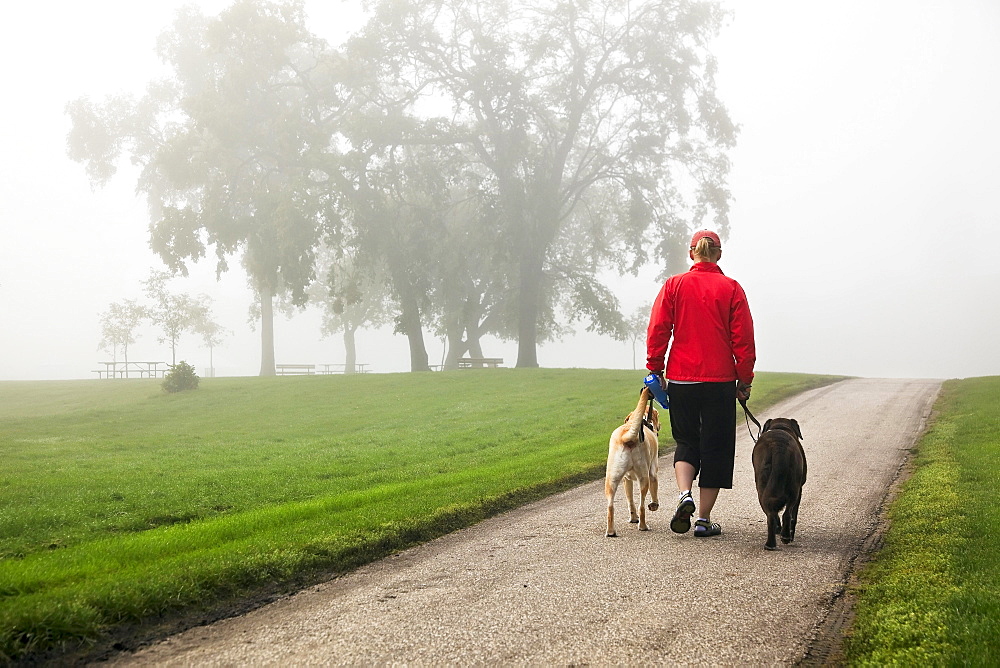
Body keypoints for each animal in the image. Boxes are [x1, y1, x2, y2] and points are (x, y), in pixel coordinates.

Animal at [604, 386, 660, 536]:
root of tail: (627, 437)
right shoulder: (653, 472)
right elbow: (654, 492)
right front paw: (654, 505)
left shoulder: (626, 480)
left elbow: (630, 501)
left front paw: (633, 518)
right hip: (644, 478)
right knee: (642, 505)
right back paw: (643, 526)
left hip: (611, 479)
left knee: (610, 506)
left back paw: (611, 531)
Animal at [752, 420, 804, 552]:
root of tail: (778, 446)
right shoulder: (800, 490)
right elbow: (793, 516)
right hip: (794, 488)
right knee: (786, 514)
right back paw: (785, 536)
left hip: (763, 488)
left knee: (772, 516)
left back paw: (770, 544)